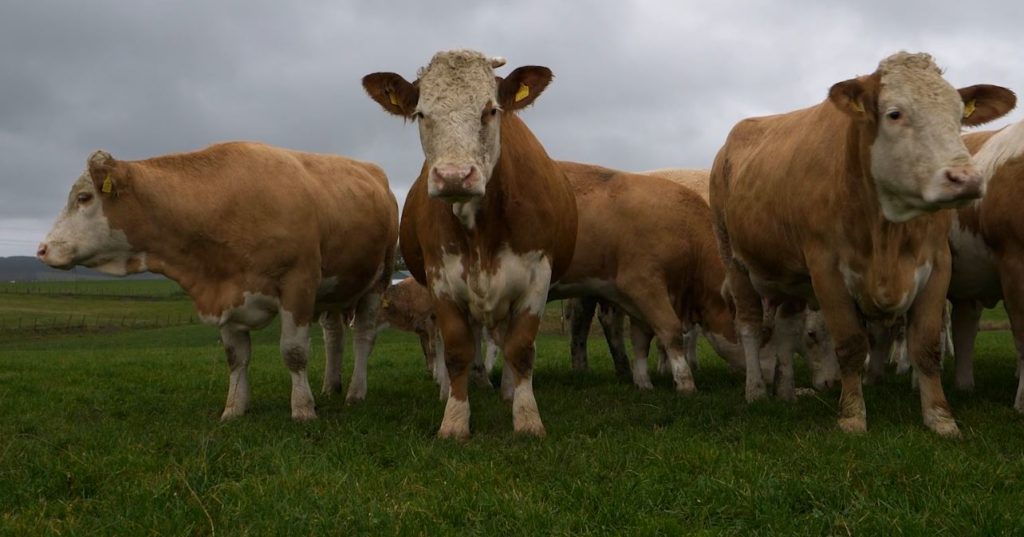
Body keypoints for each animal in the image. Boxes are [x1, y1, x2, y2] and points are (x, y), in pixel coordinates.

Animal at [36, 141, 397, 420]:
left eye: (84, 197)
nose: (42, 249)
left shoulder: (299, 283)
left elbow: (293, 352)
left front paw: (303, 409)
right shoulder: (226, 292)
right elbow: (236, 357)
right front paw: (234, 409)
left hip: (377, 280)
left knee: (363, 337)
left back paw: (355, 392)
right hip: (333, 291)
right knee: (334, 336)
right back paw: (331, 386)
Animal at [364, 48, 581, 438]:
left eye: (490, 110)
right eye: (421, 114)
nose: (453, 176)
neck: (481, 231)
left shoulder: (537, 277)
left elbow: (521, 349)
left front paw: (526, 418)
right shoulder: (440, 279)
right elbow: (456, 350)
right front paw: (454, 419)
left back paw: (506, 389)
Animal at [712, 51, 1015, 436]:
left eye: (960, 115)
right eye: (895, 113)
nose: (966, 178)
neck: (886, 232)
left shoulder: (937, 265)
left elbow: (926, 345)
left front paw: (940, 418)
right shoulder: (825, 269)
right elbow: (851, 345)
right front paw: (852, 416)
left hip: (790, 278)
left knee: (785, 328)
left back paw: (786, 392)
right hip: (734, 261)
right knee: (750, 326)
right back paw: (755, 391)